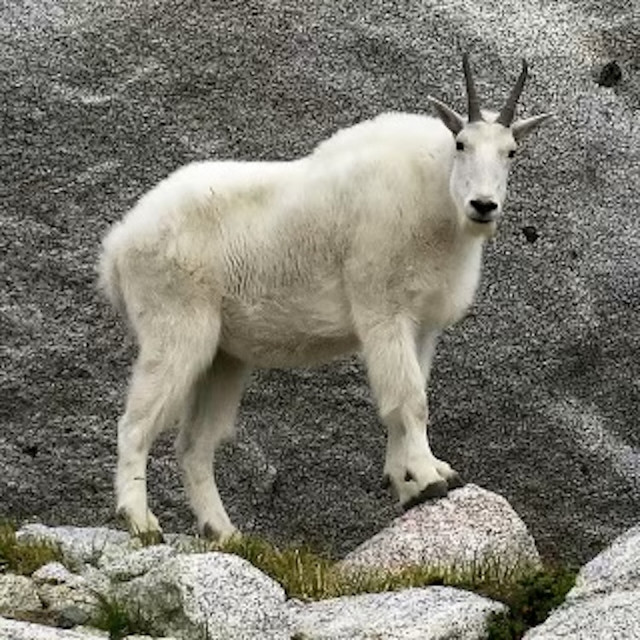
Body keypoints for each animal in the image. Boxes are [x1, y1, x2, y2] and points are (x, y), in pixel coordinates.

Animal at [98, 55, 551, 541]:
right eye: (462, 144)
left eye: (511, 152)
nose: (483, 205)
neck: (436, 201)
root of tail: (118, 245)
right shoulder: (382, 310)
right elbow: (410, 398)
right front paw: (432, 478)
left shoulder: (420, 326)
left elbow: (405, 402)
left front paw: (409, 485)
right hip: (175, 327)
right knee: (135, 425)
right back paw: (141, 521)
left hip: (223, 357)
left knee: (194, 445)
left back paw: (225, 532)